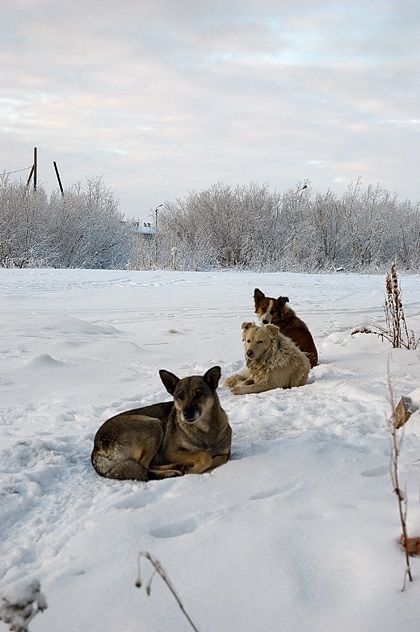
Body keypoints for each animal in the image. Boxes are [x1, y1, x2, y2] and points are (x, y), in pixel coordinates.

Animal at [91, 362, 233, 482]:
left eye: (198, 394)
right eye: (180, 396)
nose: (186, 414)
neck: (205, 430)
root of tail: (96, 446)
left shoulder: (225, 454)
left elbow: (217, 458)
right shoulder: (170, 452)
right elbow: (205, 456)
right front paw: (191, 470)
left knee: (147, 465)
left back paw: (175, 467)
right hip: (153, 425)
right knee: (144, 465)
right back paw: (171, 472)